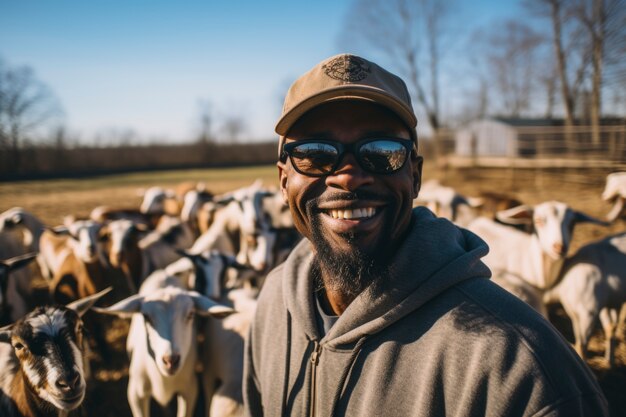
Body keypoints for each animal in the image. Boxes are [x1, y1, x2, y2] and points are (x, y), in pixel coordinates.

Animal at [95, 266, 234, 416]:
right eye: (146, 316)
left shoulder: (190, 389)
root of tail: (163, 272)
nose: (170, 360)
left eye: (191, 314)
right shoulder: (135, 394)